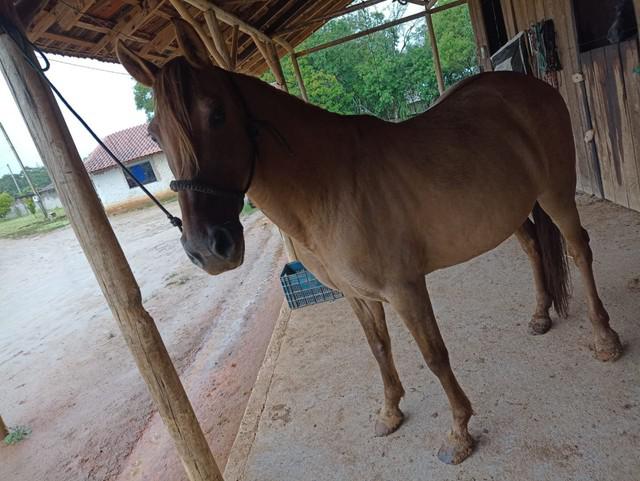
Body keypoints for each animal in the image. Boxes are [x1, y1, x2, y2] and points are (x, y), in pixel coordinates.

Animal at [117, 19, 624, 464]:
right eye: (155, 133)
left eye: (217, 113)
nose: (208, 249)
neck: (331, 186)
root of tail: (529, 86)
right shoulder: (357, 295)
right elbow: (379, 349)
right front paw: (390, 413)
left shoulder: (405, 289)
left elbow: (434, 355)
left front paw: (458, 434)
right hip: (513, 210)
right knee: (534, 249)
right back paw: (540, 316)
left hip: (555, 192)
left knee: (579, 249)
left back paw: (605, 338)